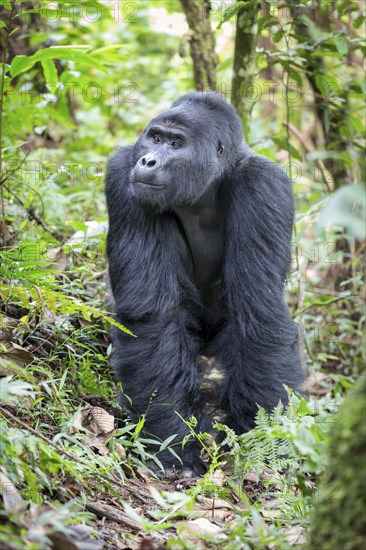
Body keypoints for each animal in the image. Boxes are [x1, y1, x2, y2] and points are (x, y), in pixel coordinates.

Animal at [106, 92, 304, 476]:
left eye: (176, 144)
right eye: (154, 137)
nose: (148, 160)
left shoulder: (264, 185)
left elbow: (259, 313)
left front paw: (260, 442)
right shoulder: (123, 173)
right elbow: (153, 318)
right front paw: (174, 439)